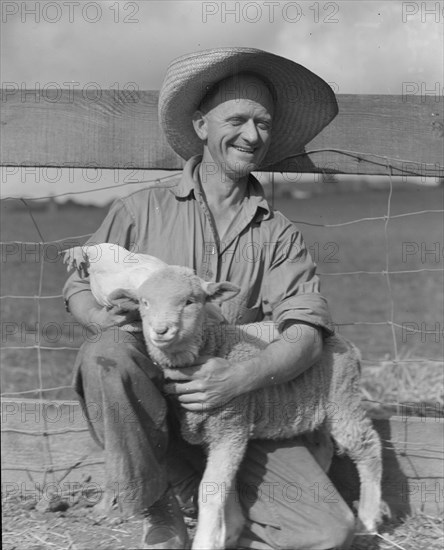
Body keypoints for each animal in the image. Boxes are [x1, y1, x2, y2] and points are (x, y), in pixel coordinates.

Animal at [109, 266, 384, 548]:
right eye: (144, 302)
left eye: (190, 302)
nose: (161, 330)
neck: (210, 344)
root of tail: (345, 341)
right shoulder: (216, 434)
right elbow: (224, 486)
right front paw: (229, 531)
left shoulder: (231, 425)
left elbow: (211, 488)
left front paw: (209, 539)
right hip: (315, 406)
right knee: (325, 445)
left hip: (343, 397)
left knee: (368, 446)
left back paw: (367, 520)